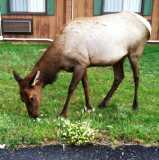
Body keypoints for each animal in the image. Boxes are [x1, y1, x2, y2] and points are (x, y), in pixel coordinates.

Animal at [13, 11, 151, 118]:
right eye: (21, 98)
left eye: (31, 97)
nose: (33, 115)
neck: (59, 60)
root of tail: (147, 25)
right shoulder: (85, 63)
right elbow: (86, 85)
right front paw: (89, 107)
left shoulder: (80, 63)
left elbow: (71, 88)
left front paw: (63, 113)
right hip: (118, 58)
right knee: (119, 77)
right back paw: (103, 103)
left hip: (134, 52)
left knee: (136, 77)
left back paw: (135, 105)